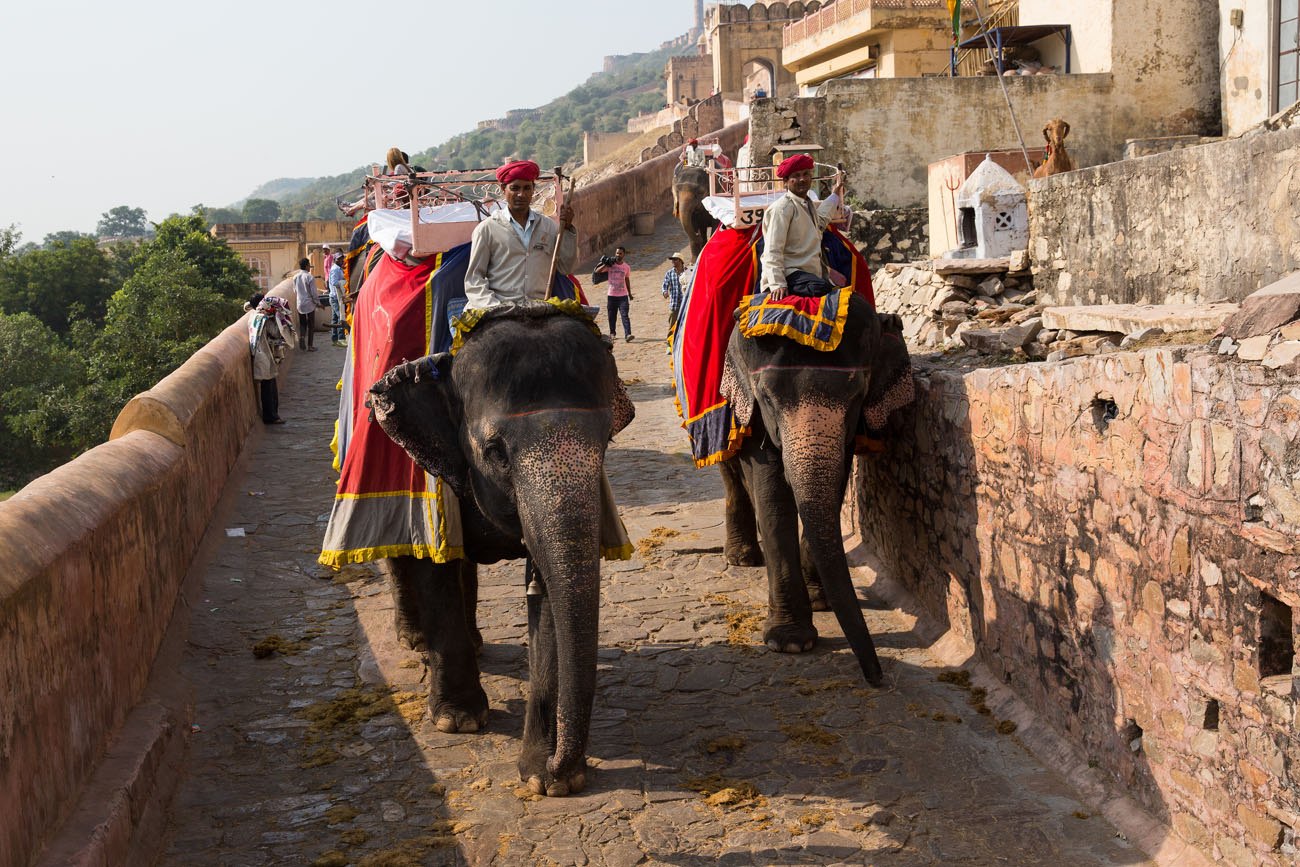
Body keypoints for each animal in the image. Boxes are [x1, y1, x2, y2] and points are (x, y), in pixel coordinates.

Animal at [366, 305, 634, 800]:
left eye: (608, 439)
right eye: (495, 451)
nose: (559, 760)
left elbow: (547, 587)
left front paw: (548, 781)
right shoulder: (428, 473)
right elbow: (434, 565)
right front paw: (459, 721)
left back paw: (472, 642)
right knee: (397, 546)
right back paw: (414, 641)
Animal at [712, 295, 915, 686]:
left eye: (857, 395)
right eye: (767, 399)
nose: (876, 677)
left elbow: (834, 487)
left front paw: (822, 602)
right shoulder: (753, 412)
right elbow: (772, 496)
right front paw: (789, 642)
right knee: (729, 470)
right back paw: (742, 557)